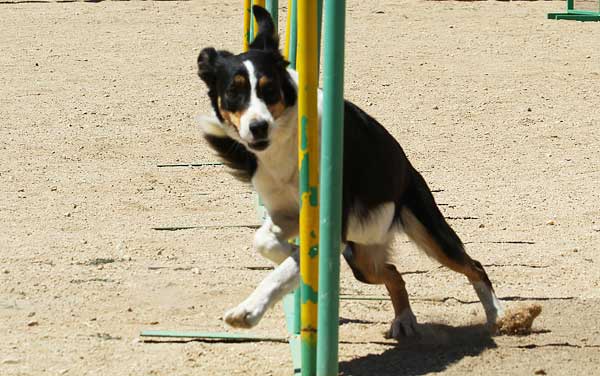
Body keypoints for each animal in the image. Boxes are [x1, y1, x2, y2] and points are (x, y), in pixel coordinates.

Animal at [196, 5, 502, 340]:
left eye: (269, 89)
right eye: (233, 91)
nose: (258, 126)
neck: (286, 142)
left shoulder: (328, 221)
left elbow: (290, 265)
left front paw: (249, 311)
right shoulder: (285, 213)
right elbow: (265, 242)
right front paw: (289, 254)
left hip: (429, 232)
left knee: (473, 265)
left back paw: (497, 315)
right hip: (363, 260)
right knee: (393, 273)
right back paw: (404, 319)